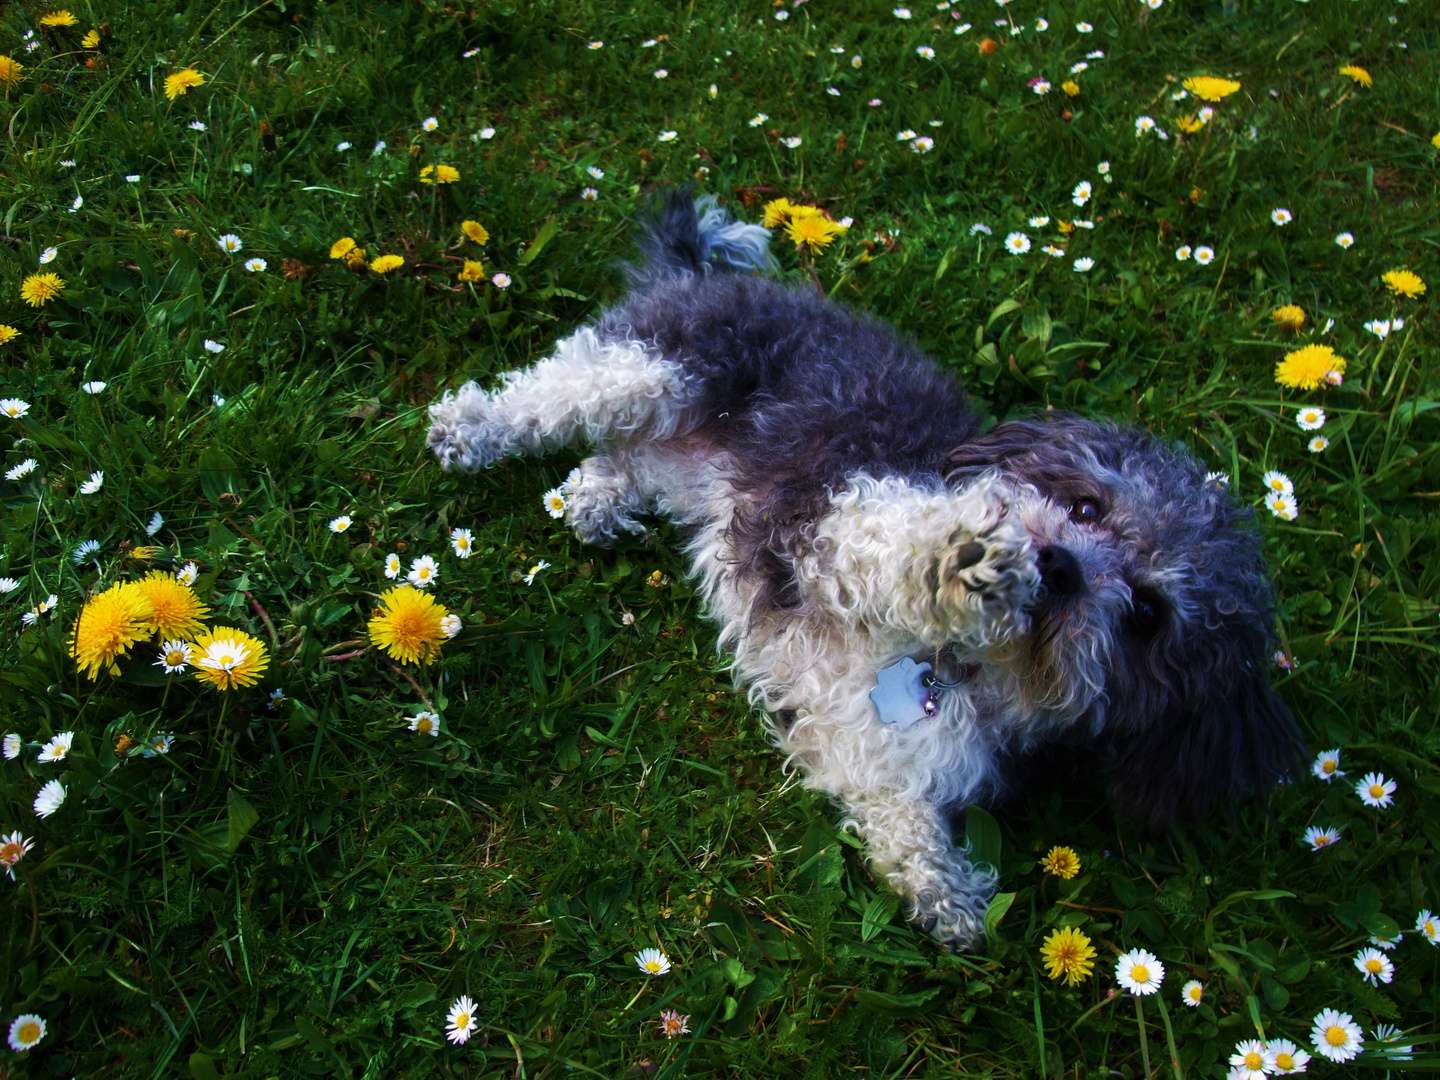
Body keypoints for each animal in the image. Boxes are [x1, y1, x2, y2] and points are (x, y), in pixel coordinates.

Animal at [426, 198, 1307, 950]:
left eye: (1149, 615)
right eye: (1088, 505)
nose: (1057, 568)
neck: (956, 665)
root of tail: (702, 272)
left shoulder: (874, 743)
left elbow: (899, 813)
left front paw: (947, 892)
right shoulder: (829, 522)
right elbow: (897, 549)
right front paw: (968, 562)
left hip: (672, 453)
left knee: (620, 460)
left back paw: (597, 500)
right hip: (657, 368)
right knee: (548, 396)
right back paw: (467, 428)